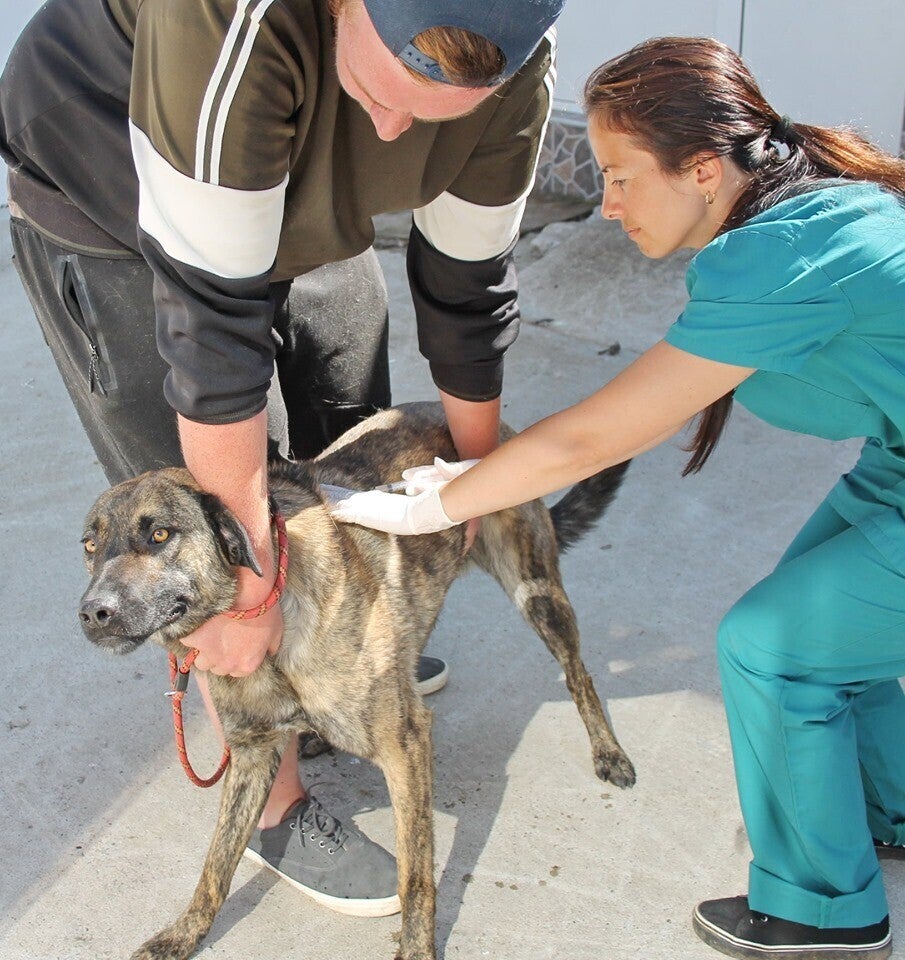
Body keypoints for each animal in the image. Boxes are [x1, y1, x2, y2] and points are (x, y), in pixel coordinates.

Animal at [78, 401, 635, 960]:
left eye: (160, 535)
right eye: (89, 545)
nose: (91, 614)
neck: (274, 620)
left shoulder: (406, 747)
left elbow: (416, 876)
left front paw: (417, 950)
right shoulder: (252, 754)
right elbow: (216, 863)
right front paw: (183, 933)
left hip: (537, 593)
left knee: (579, 674)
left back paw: (609, 751)